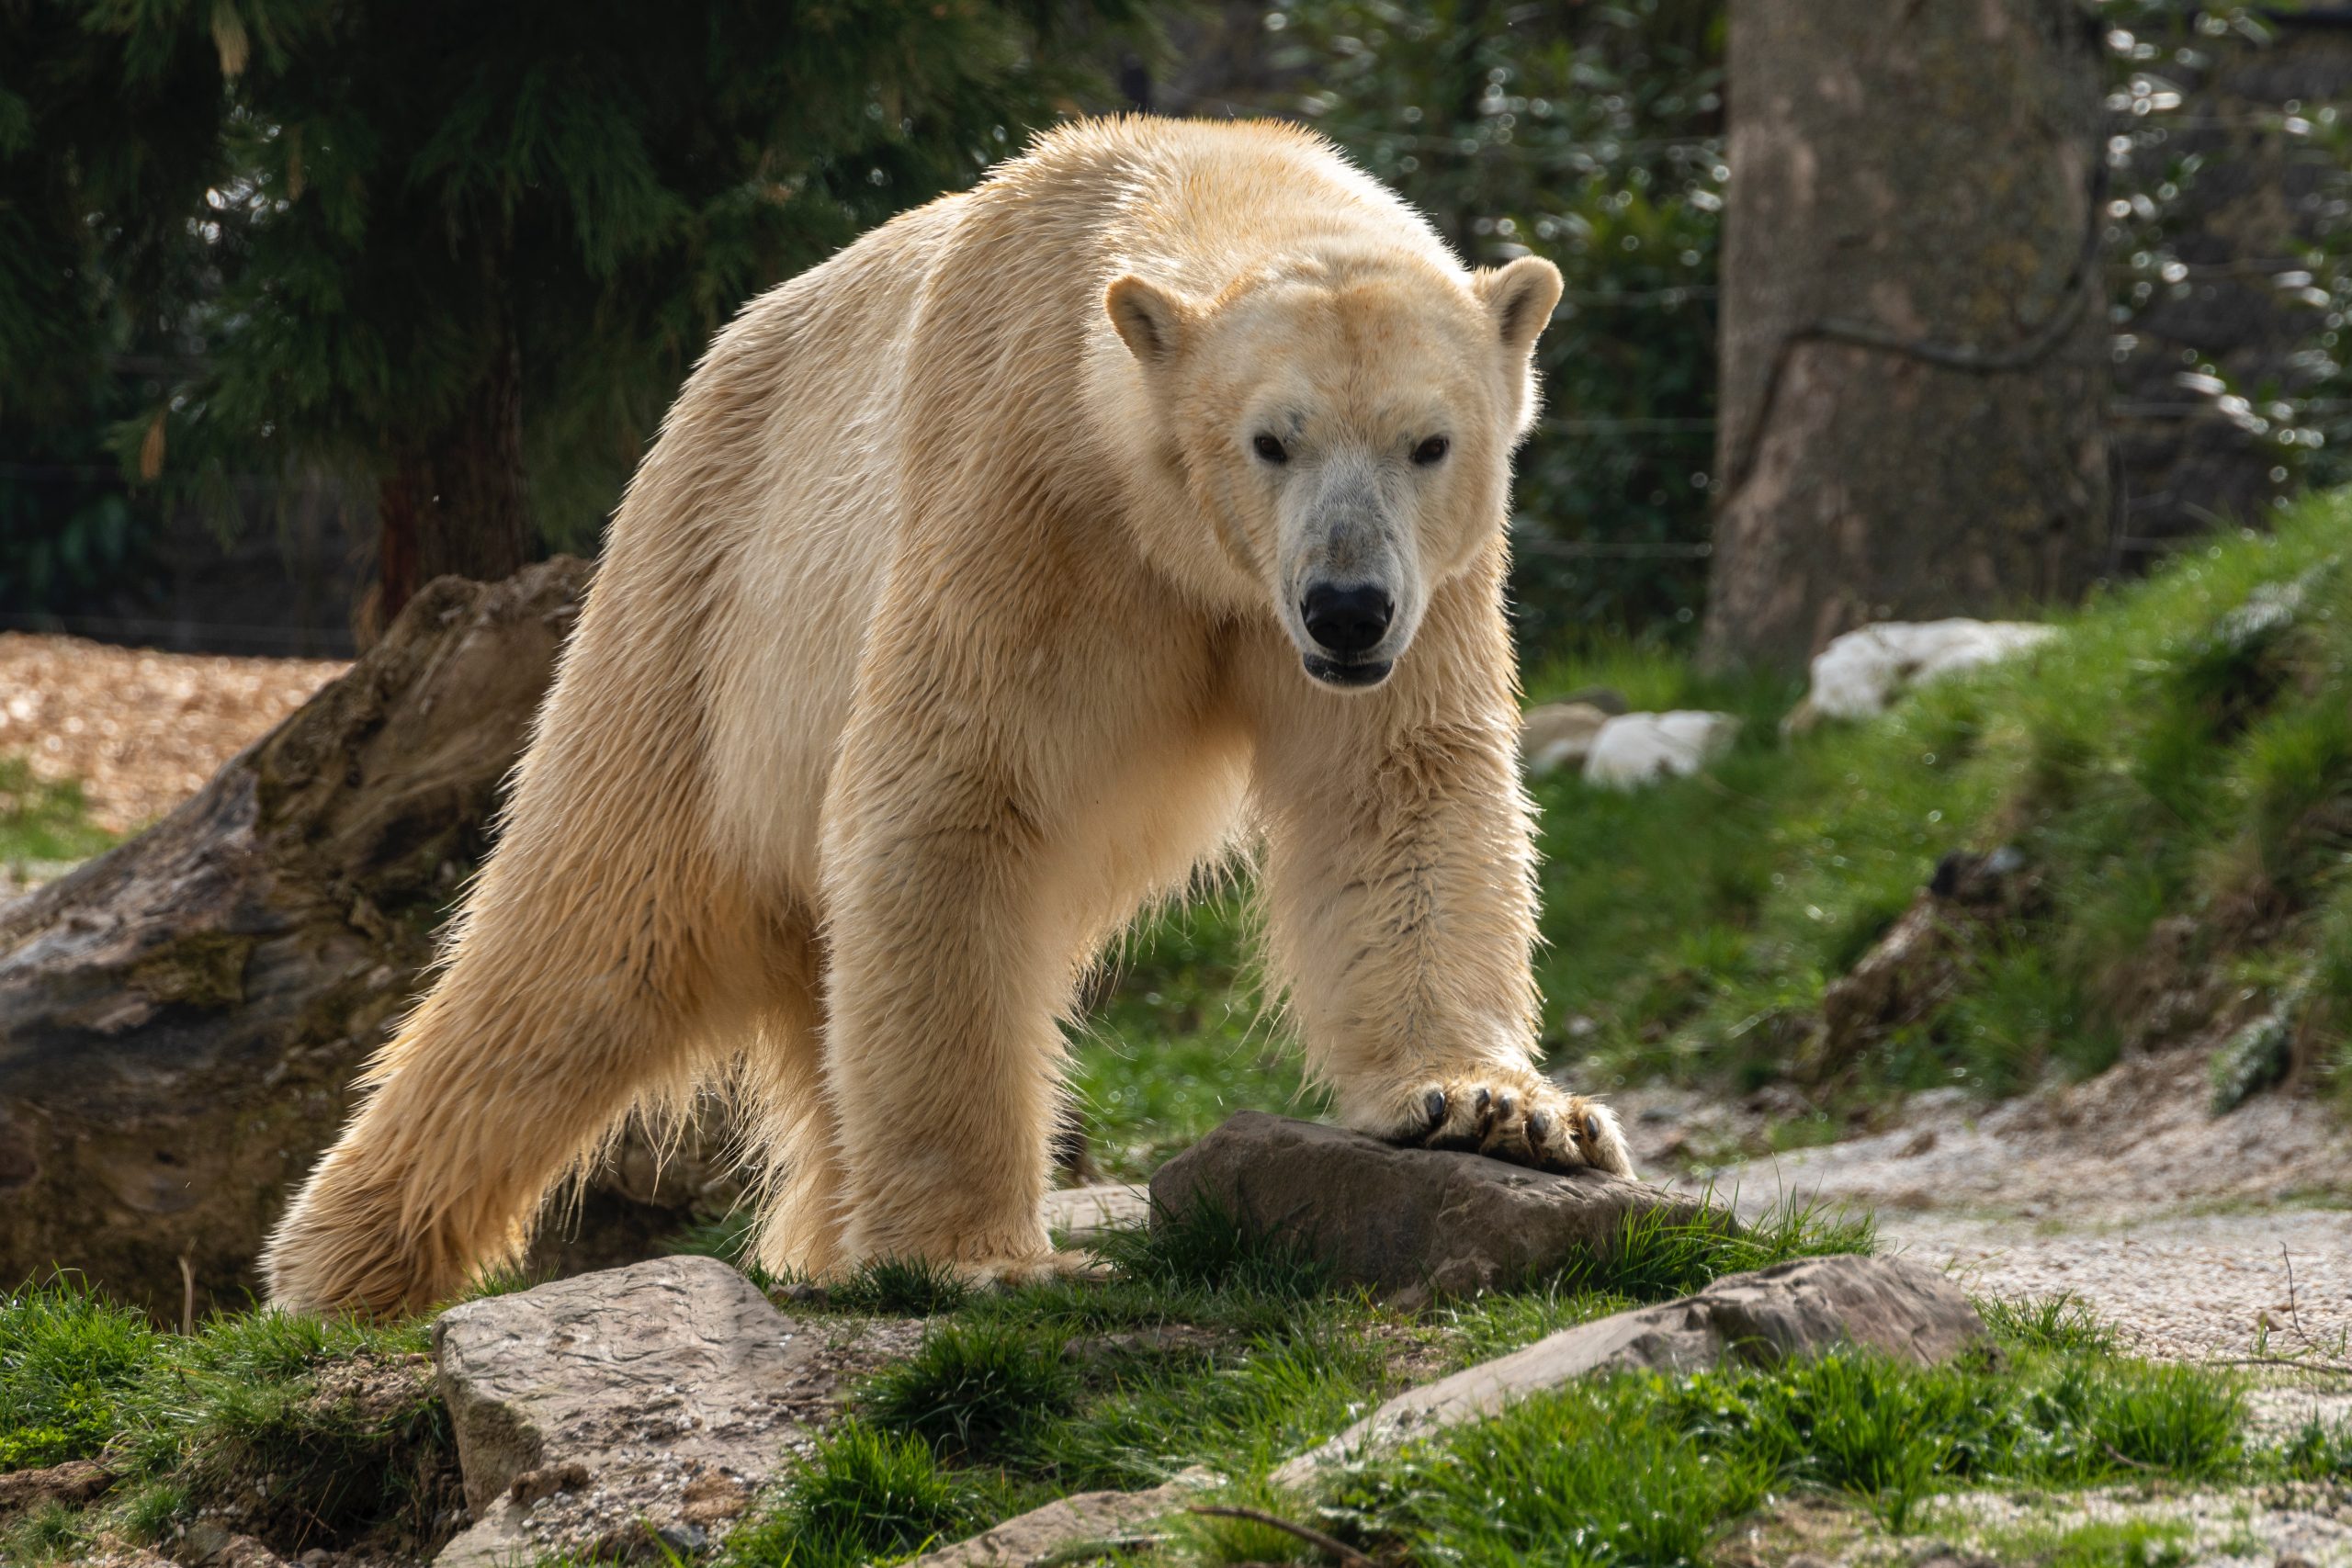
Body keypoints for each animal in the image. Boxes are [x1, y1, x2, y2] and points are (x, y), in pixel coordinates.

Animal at [266, 119, 1636, 1316]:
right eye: (1270, 439)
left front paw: (1501, 1110)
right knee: (584, 935)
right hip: (696, 607)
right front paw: (975, 1252)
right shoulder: (1021, 496)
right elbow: (953, 805)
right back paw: (340, 1267)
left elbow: (1396, 789)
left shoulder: (1432, 589)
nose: (1346, 608)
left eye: (1429, 441)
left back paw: (820, 1237)